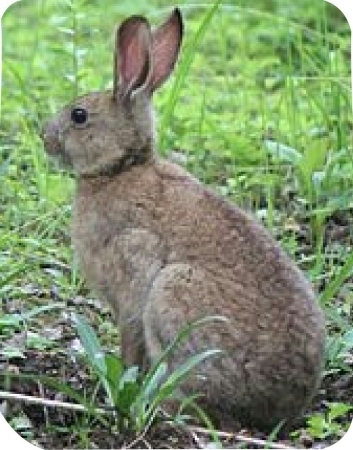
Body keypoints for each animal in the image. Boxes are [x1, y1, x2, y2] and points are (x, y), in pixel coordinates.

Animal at [42, 7, 326, 428]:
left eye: (79, 116)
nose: (44, 137)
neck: (120, 168)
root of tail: (283, 408)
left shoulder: (133, 270)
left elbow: (131, 340)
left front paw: (123, 386)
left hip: (173, 294)